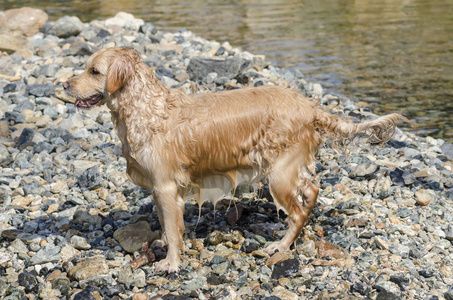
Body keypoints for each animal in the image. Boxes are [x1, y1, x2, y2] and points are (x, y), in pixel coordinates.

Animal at [62, 46, 406, 272]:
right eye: (86, 67)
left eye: (94, 71)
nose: (64, 83)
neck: (145, 109)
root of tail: (309, 105)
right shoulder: (160, 189)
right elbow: (165, 223)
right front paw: (162, 245)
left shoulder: (166, 185)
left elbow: (172, 228)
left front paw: (171, 262)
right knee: (311, 189)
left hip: (278, 173)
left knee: (296, 212)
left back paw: (281, 246)